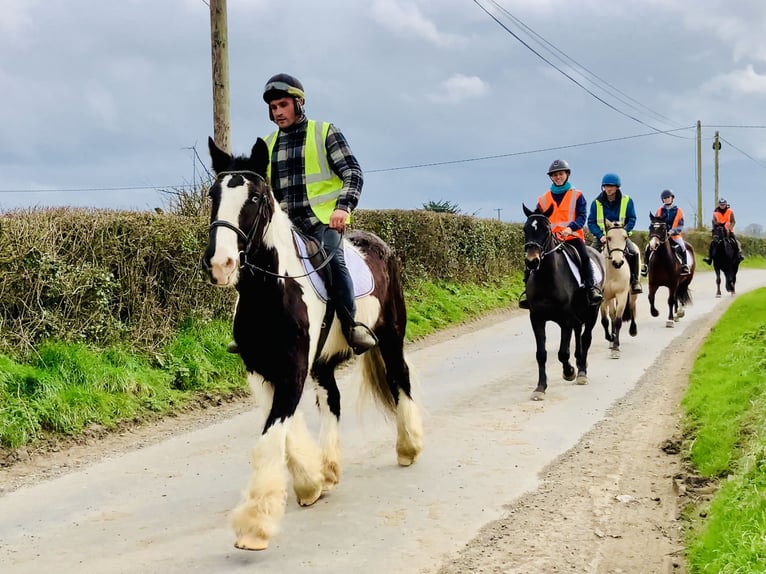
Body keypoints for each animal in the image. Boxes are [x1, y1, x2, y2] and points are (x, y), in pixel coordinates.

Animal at [202, 138, 426, 552]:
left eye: (255, 197)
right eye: (214, 194)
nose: (220, 264)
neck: (273, 290)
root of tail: (381, 246)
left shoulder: (292, 369)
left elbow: (270, 440)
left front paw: (255, 525)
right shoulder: (261, 371)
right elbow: (284, 430)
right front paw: (311, 481)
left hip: (391, 336)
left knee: (399, 378)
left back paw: (408, 448)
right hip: (324, 363)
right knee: (332, 399)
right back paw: (331, 468)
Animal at [520, 206, 608, 400]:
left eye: (546, 230)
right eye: (525, 229)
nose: (532, 261)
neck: (547, 279)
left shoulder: (565, 320)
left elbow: (562, 353)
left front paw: (569, 372)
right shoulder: (536, 318)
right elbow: (541, 354)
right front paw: (540, 387)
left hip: (592, 312)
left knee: (586, 338)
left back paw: (581, 372)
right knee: (579, 336)